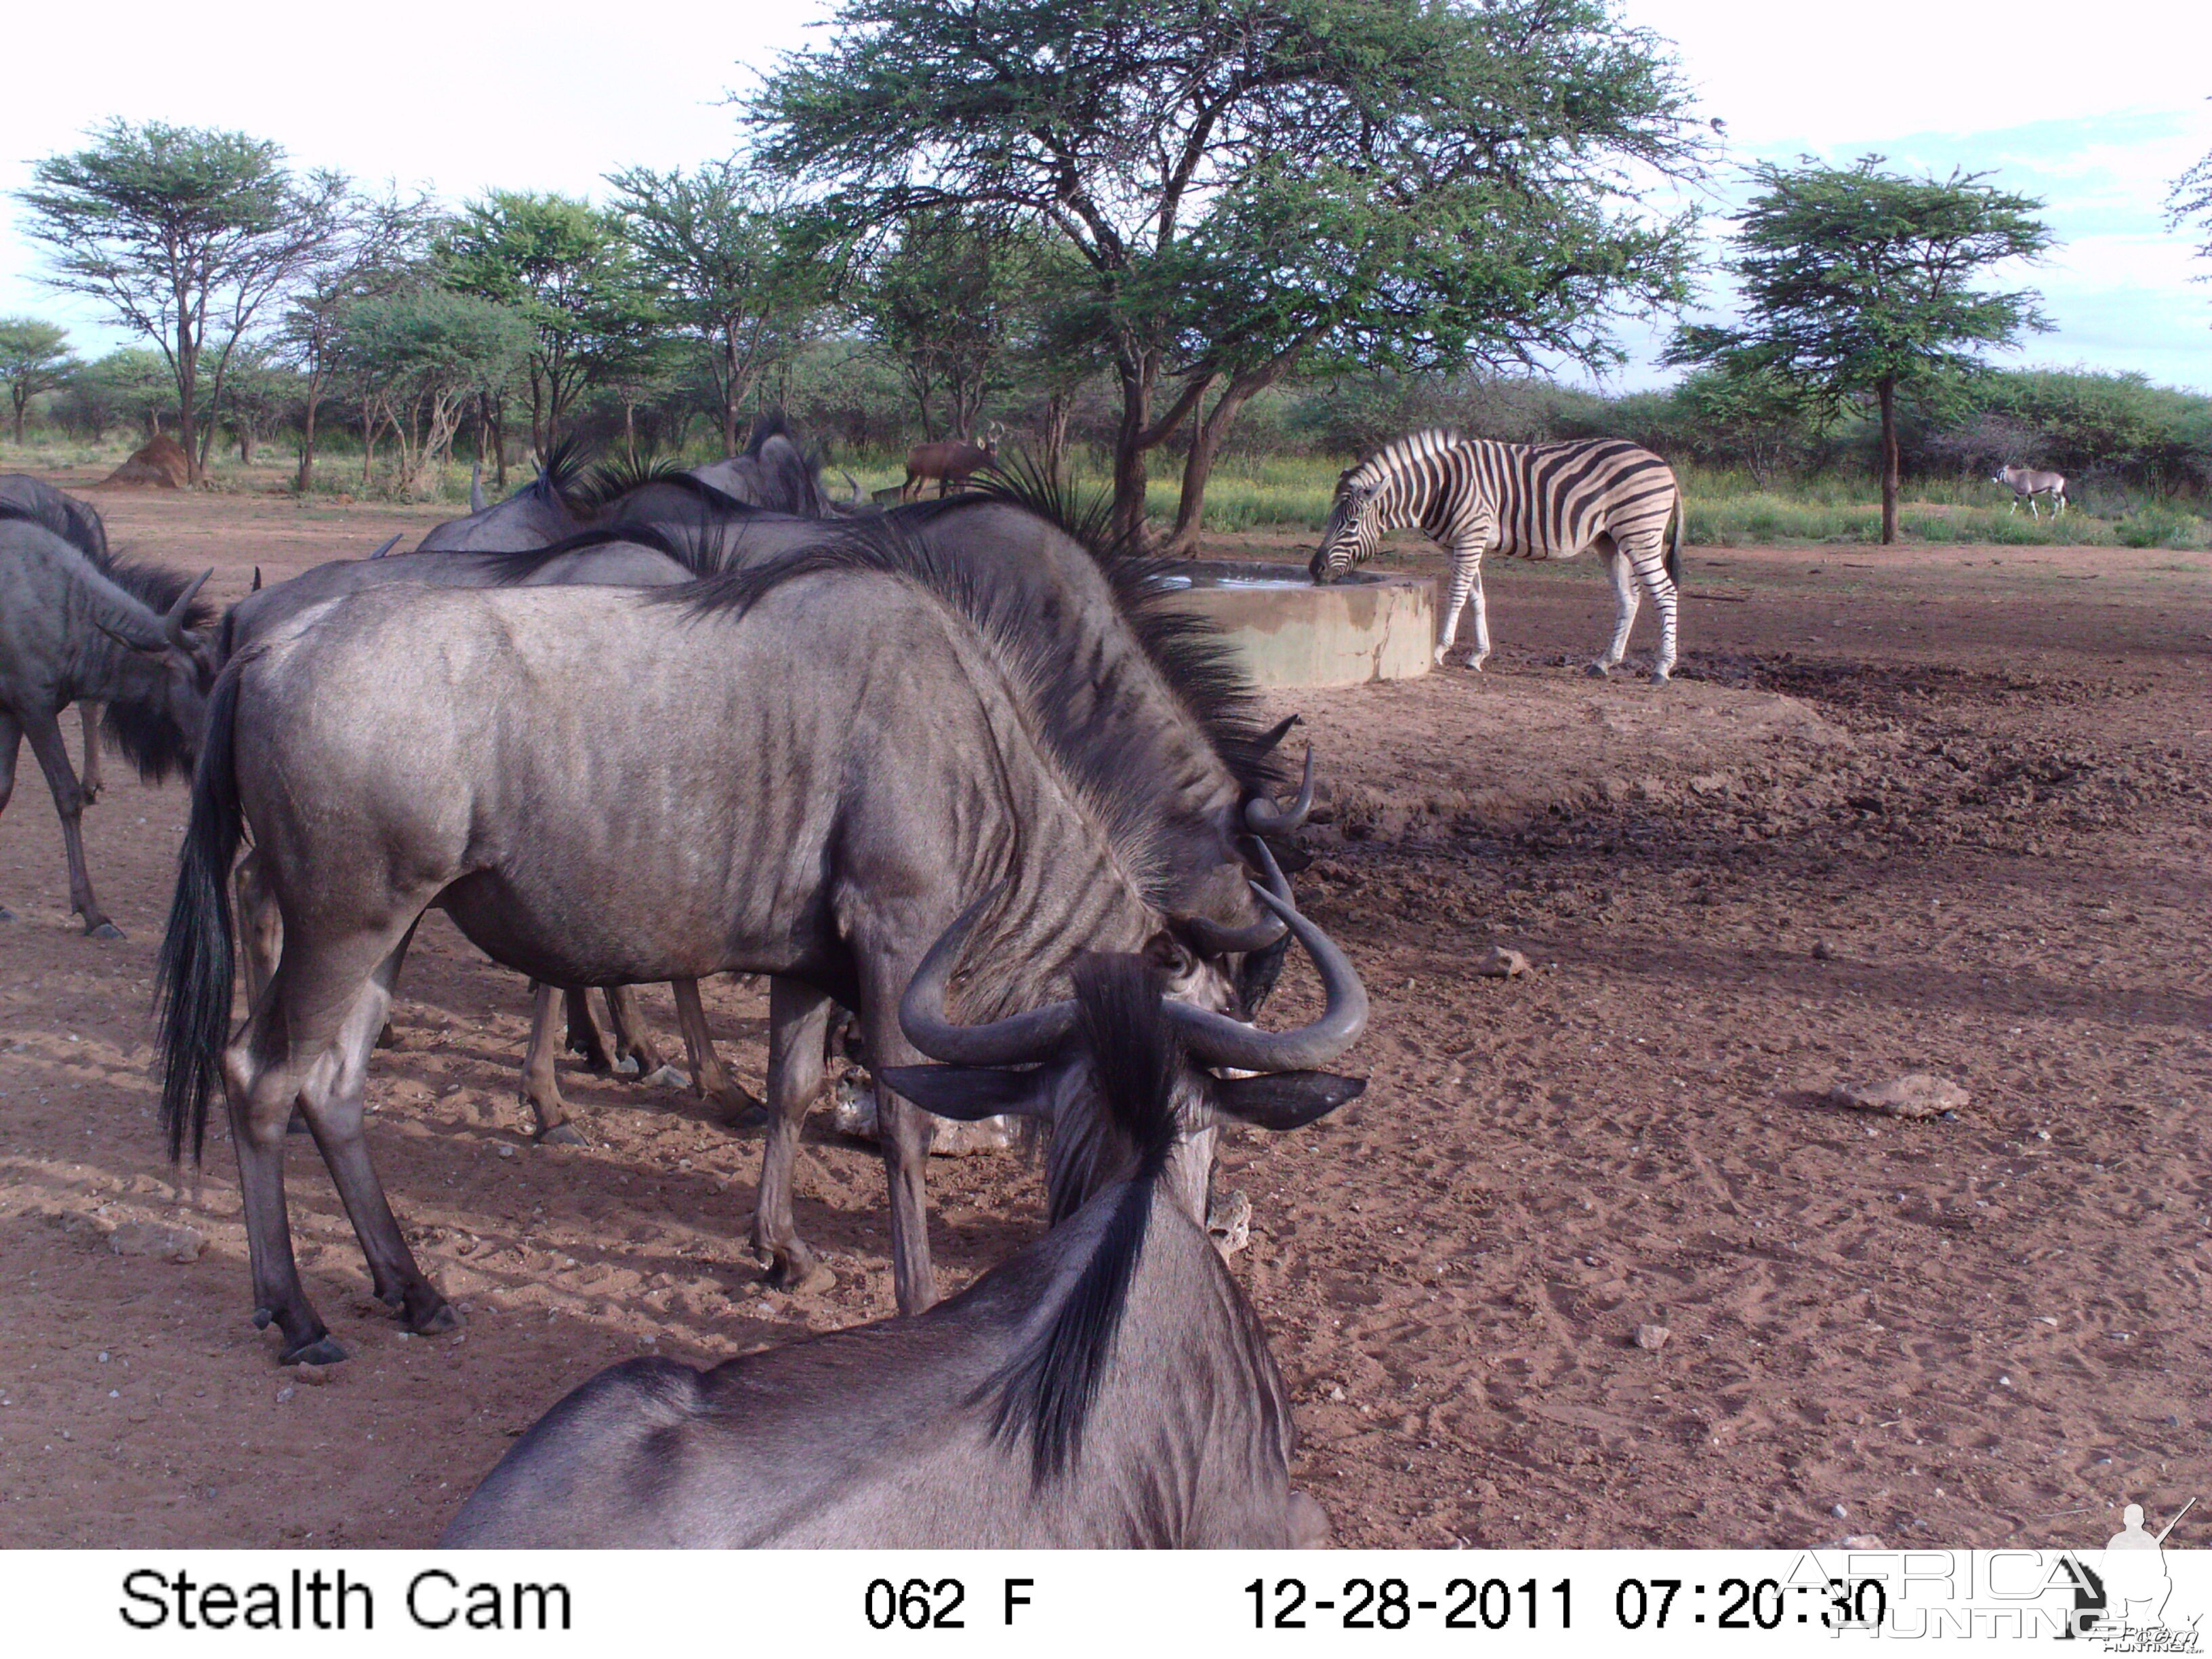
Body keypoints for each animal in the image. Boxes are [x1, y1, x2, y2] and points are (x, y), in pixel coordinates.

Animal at [1300, 436, 1681, 690]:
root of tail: (1663, 464)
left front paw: (1438, 650)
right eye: (1329, 519)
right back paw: (1604, 663)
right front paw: (1477, 656)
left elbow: (1456, 594)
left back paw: (1662, 669)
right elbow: (1475, 596)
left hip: (1639, 534)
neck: (1438, 488)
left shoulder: (1471, 536)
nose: (1314, 570)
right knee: (1629, 599)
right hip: (1610, 540)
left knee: (1665, 593)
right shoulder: (1456, 544)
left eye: (1351, 524)